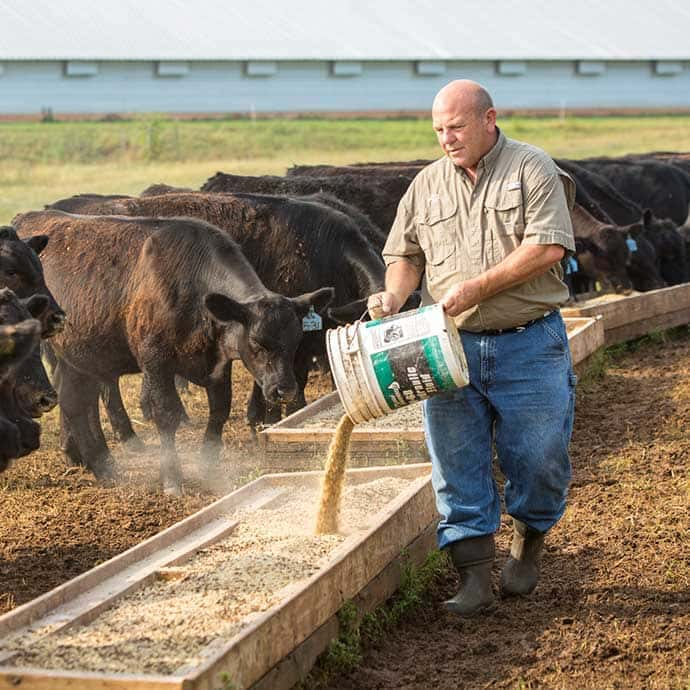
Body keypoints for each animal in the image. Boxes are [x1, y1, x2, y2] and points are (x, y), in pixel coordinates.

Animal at [12, 210, 332, 494]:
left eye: (296, 339)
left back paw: (97, 463)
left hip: (80, 359)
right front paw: (172, 479)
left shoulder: (218, 362)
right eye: (257, 342)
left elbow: (220, 409)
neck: (191, 289)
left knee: (76, 400)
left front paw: (207, 466)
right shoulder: (155, 362)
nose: (284, 389)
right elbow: (166, 414)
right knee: (77, 402)